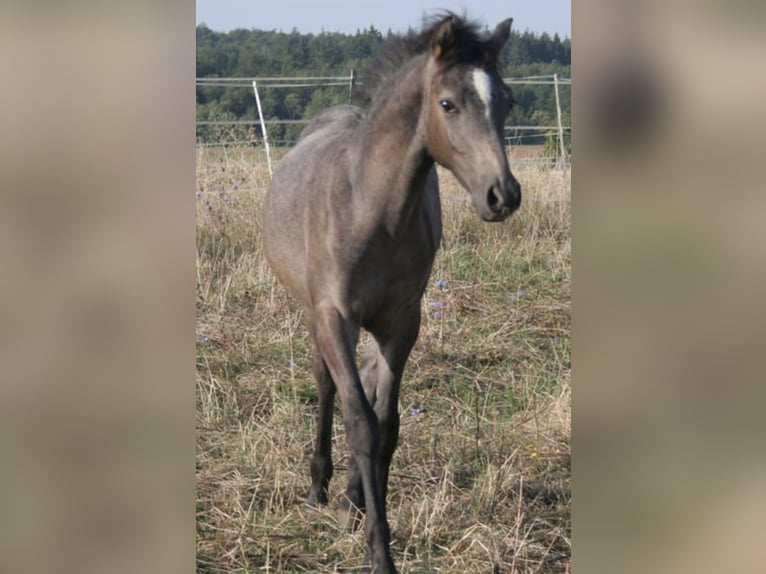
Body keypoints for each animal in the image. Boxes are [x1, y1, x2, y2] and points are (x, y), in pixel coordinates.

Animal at [262, 13, 520, 574]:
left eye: (507, 101)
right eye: (447, 103)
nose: (503, 195)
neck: (371, 208)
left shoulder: (403, 322)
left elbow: (387, 425)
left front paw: (366, 512)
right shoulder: (333, 316)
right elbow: (360, 422)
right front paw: (379, 553)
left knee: (367, 382)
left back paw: (350, 496)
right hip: (315, 316)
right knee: (327, 385)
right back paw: (319, 486)